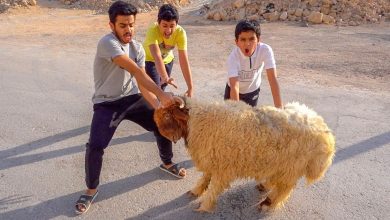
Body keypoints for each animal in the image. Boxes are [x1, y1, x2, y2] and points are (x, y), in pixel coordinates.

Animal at [155, 96, 336, 213]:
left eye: (167, 115)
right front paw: (195, 191)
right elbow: (205, 178)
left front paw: (204, 206)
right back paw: (264, 186)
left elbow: (213, 187)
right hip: (282, 165)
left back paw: (267, 203)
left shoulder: (222, 168)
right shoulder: (212, 160)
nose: (158, 129)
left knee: (284, 189)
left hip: (291, 167)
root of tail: (326, 134)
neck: (199, 120)